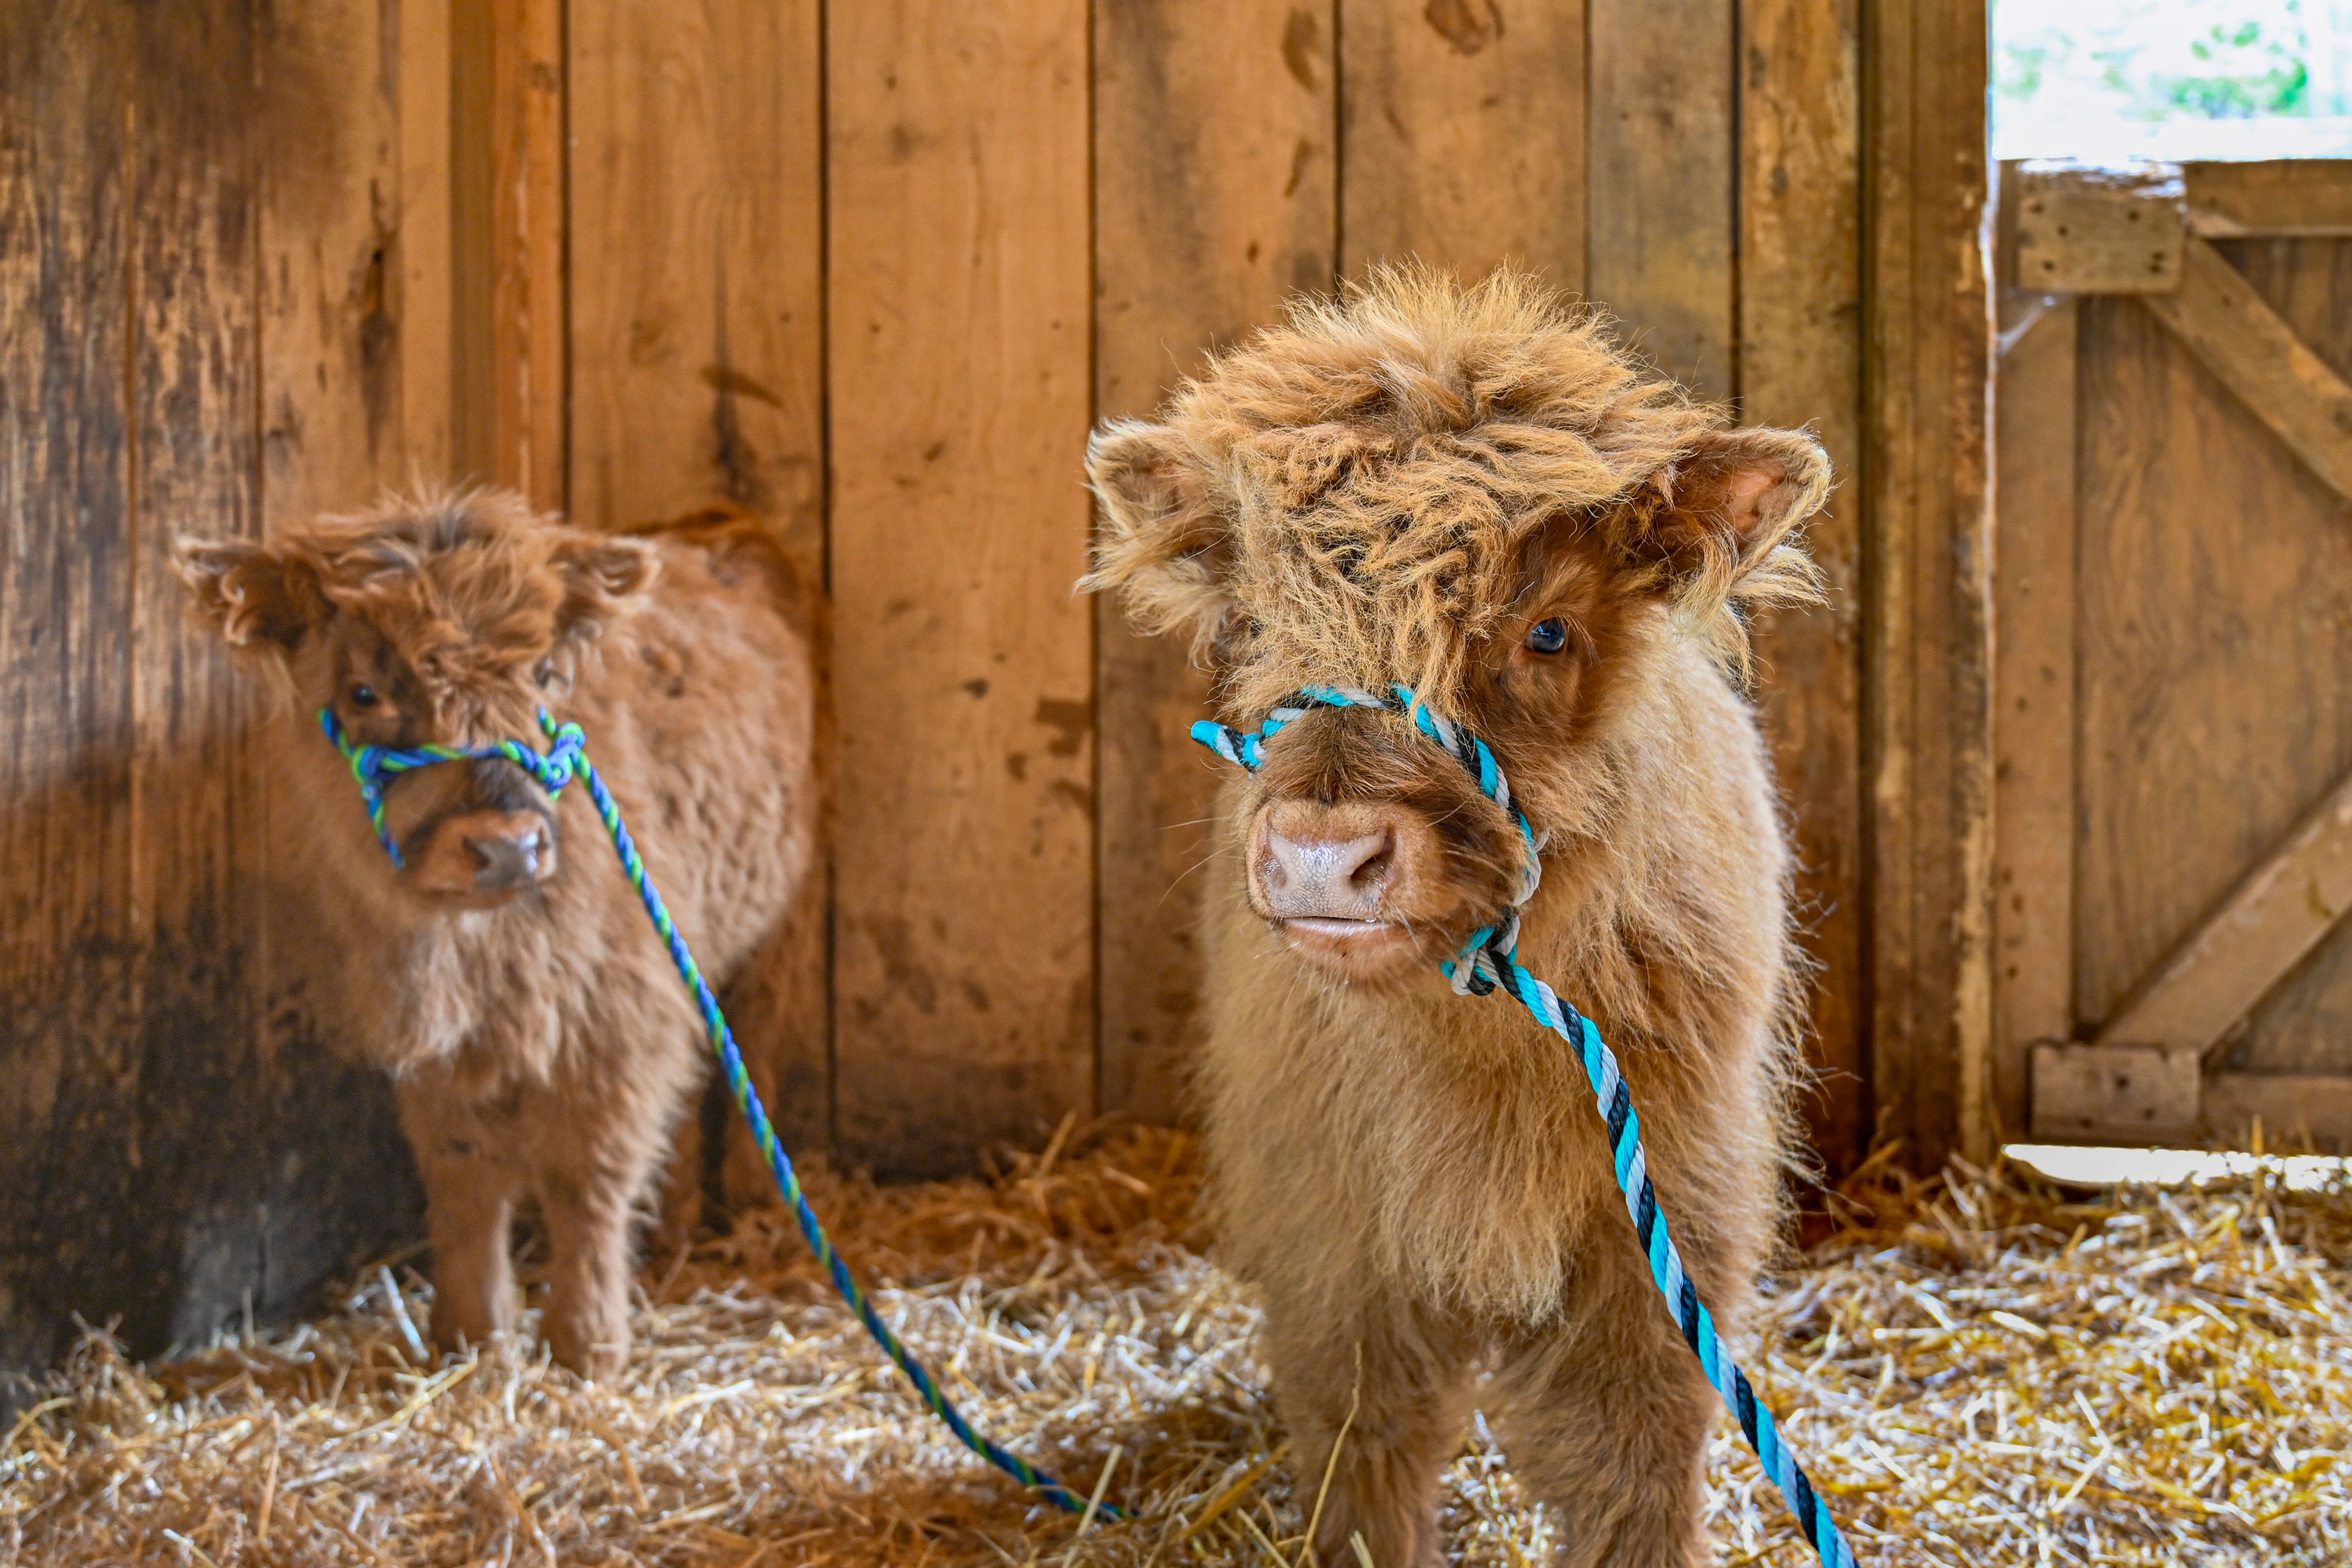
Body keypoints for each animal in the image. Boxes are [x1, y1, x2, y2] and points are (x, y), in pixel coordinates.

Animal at [176, 491, 822, 1380]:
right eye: (365, 690)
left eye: (544, 675)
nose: (507, 845)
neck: (476, 953)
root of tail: (721, 520)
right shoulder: (441, 1047)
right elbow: (463, 1179)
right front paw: (470, 1335)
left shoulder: (618, 1019)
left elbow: (588, 1178)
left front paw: (586, 1345)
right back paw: (681, 1222)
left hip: (780, 926)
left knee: (757, 1045)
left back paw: (759, 1213)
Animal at [1085, 267, 1831, 1568]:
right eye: (1259, 623)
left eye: (1548, 628)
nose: (1324, 860)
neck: (1472, 1057)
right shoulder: (1333, 1247)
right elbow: (1365, 1452)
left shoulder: (1662, 1229)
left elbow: (1633, 1458)